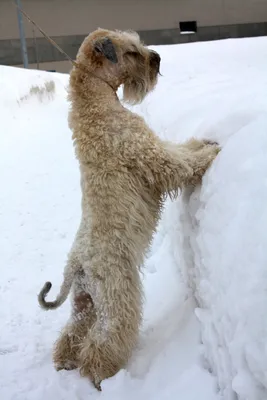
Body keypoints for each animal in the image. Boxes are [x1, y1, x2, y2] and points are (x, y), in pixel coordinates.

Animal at [38, 28, 222, 390]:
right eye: (131, 51)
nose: (157, 58)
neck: (97, 107)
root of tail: (76, 265)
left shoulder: (153, 146)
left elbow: (180, 148)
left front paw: (204, 142)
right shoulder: (151, 155)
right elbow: (180, 161)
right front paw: (212, 151)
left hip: (85, 302)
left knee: (71, 334)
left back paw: (65, 361)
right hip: (118, 296)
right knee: (101, 342)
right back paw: (100, 375)